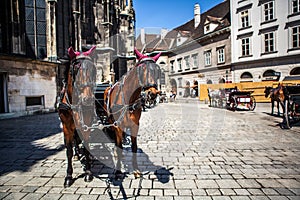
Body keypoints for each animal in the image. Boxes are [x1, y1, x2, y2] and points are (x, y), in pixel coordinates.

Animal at [57, 46, 96, 187]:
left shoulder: (87, 125)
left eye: (93, 69)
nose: (88, 99)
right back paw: (76, 154)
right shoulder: (66, 127)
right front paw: (68, 176)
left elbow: (86, 146)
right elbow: (68, 150)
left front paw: (88, 172)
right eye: (76, 69)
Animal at [103, 48, 161, 177]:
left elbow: (134, 147)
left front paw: (136, 169)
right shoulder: (118, 126)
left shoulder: (135, 125)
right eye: (142, 69)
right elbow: (119, 145)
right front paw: (118, 170)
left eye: (157, 70)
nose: (152, 93)